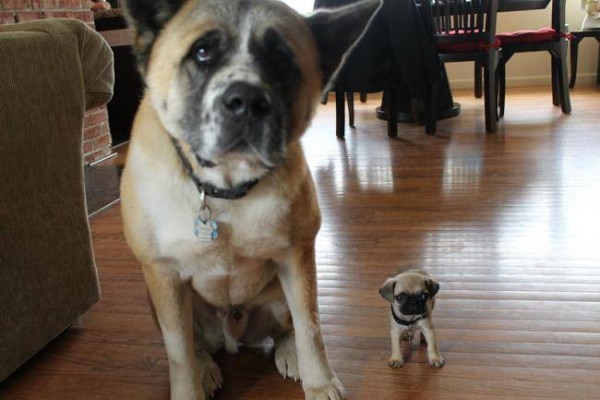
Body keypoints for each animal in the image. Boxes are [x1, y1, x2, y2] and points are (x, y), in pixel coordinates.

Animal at [120, 0, 380, 400]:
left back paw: (289, 353)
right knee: (195, 345)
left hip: (281, 292)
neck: (224, 190)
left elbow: (311, 328)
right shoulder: (163, 275)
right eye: (202, 51)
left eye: (282, 60)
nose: (246, 101)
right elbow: (179, 351)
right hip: (159, 299)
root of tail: (233, 336)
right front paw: (190, 383)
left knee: (289, 327)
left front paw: (320, 383)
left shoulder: (297, 258)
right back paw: (206, 367)